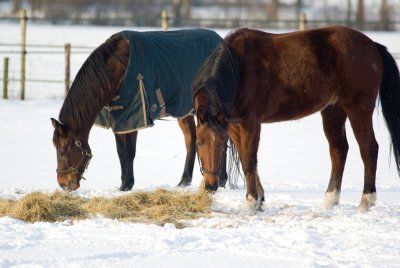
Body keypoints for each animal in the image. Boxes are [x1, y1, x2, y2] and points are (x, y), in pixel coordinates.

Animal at [50, 29, 228, 192]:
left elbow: (129, 152)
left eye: (63, 149)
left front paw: (127, 184)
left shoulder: (133, 116)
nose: (63, 183)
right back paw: (184, 181)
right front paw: (123, 185)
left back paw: (222, 180)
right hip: (184, 112)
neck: (118, 67)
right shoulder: (119, 117)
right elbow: (121, 152)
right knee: (191, 141)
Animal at [194, 26, 400, 211]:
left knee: (369, 149)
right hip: (333, 110)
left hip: (358, 110)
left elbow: (249, 162)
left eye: (221, 143)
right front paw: (260, 199)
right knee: (339, 151)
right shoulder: (235, 126)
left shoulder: (251, 124)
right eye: (199, 142)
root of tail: (372, 44)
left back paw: (366, 201)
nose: (211, 185)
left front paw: (252, 202)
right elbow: (248, 158)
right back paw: (329, 201)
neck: (239, 67)